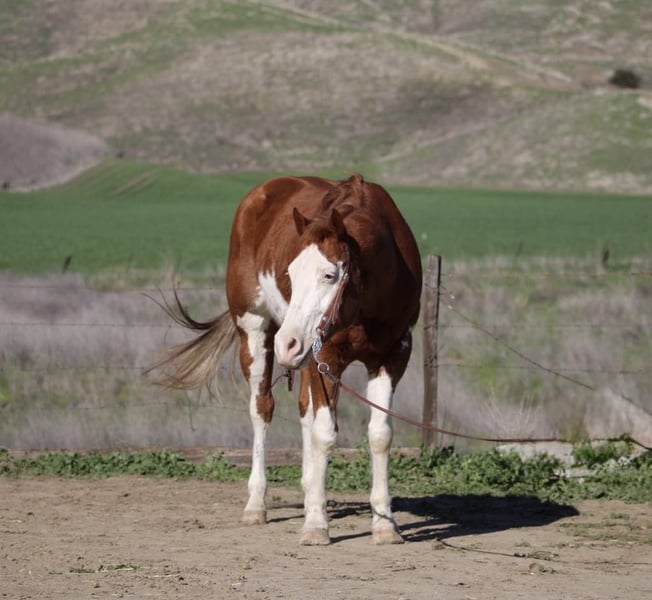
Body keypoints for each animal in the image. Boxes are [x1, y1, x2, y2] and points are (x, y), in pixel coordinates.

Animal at [154, 174, 422, 545]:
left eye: (329, 275)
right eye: (290, 275)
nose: (287, 343)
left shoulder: (392, 356)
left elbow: (379, 435)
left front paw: (385, 524)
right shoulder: (327, 356)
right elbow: (324, 433)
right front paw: (316, 525)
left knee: (304, 412)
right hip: (255, 333)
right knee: (262, 409)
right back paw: (256, 504)